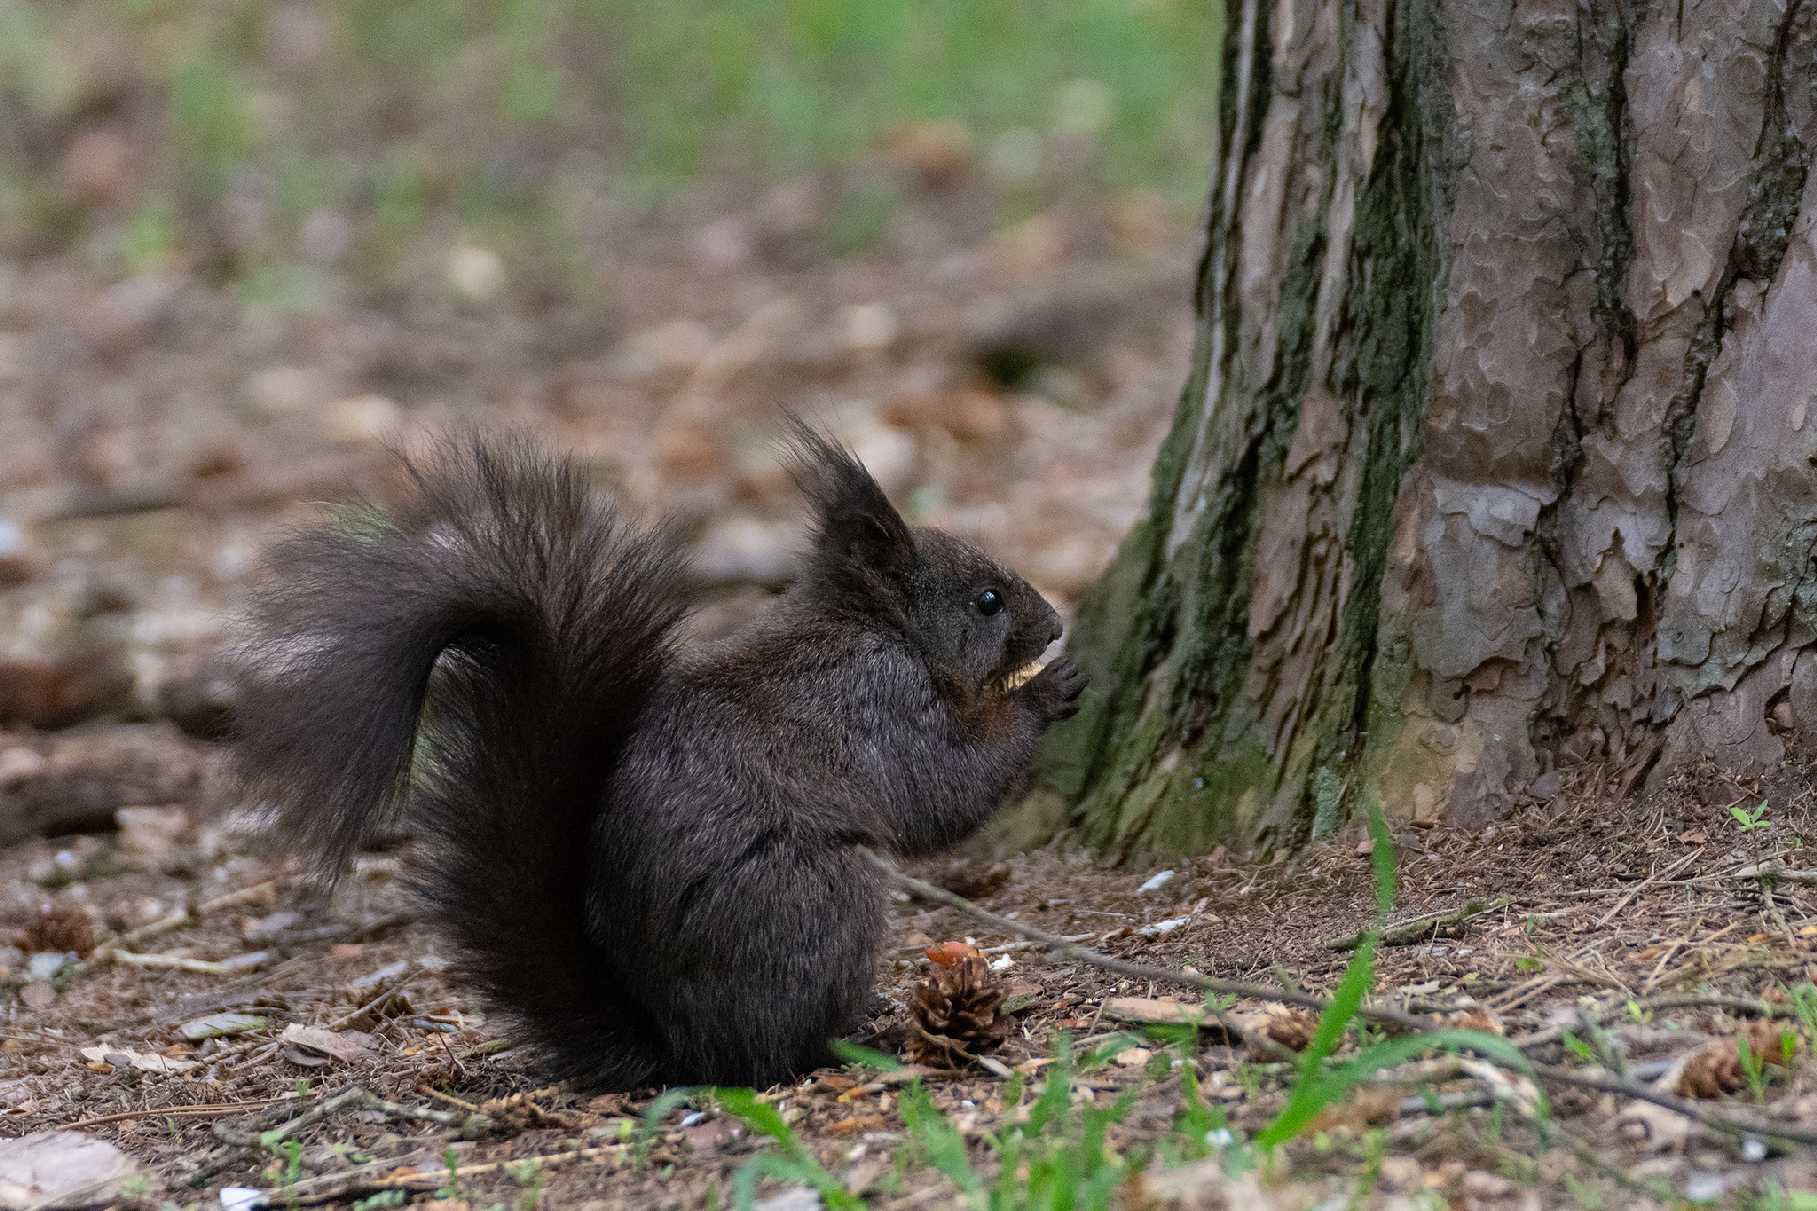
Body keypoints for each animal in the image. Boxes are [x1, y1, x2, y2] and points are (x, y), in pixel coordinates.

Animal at [225, 421, 1075, 1083]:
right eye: (988, 601)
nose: (1057, 623)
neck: (876, 628)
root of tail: (680, 1050)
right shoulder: (882, 708)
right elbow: (945, 790)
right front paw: (1046, 693)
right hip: (818, 899)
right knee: (779, 1051)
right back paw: (858, 1039)